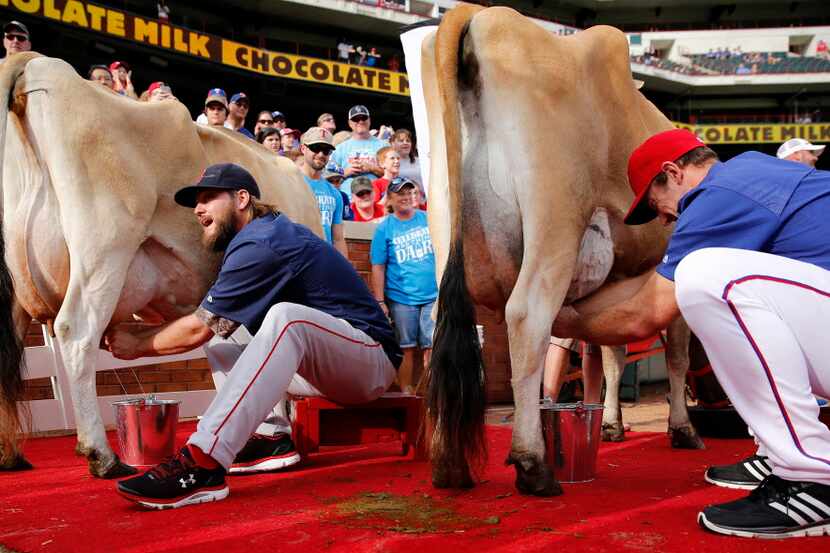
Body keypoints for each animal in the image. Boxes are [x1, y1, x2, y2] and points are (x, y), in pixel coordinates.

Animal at [408, 4, 704, 494]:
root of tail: (485, 17)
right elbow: (675, 357)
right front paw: (682, 429)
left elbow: (609, 356)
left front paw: (611, 424)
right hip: (555, 213)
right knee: (527, 317)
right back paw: (533, 464)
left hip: (443, 213)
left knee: (442, 323)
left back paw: (448, 463)